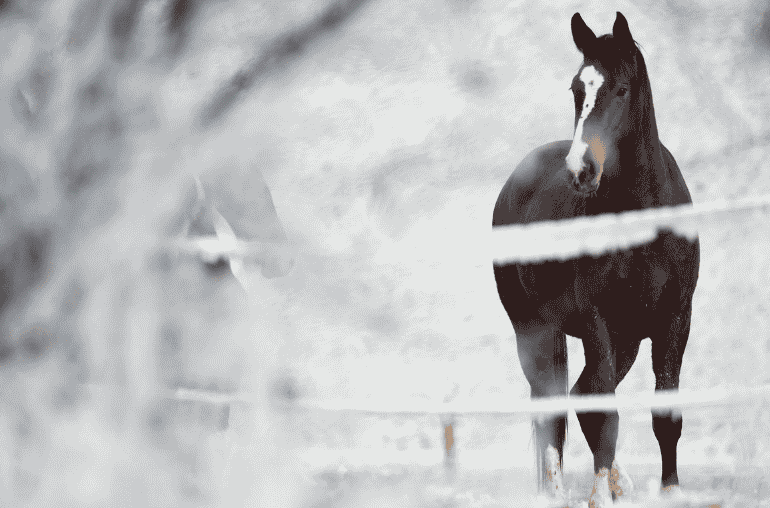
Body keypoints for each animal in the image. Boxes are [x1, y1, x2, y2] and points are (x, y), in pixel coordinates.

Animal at [491, 12, 699, 506]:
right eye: (575, 89)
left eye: (621, 89)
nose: (581, 170)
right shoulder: (596, 323)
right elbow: (604, 415)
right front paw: (599, 495)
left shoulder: (674, 320)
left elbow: (665, 416)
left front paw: (669, 490)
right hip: (537, 331)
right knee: (553, 408)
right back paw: (557, 492)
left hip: (625, 340)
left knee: (578, 393)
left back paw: (619, 482)